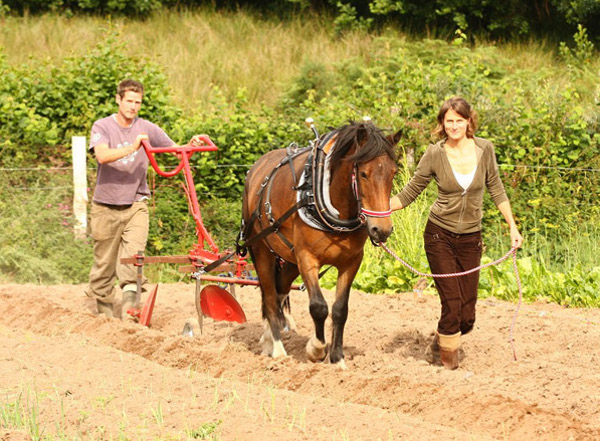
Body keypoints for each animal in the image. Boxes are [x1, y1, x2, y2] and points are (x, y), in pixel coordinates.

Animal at [241, 120, 400, 368]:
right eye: (363, 174)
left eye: (393, 174)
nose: (381, 230)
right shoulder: (307, 258)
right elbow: (318, 306)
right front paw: (316, 349)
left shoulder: (351, 262)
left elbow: (340, 310)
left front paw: (337, 358)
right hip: (261, 250)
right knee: (269, 295)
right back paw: (277, 349)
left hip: (289, 259)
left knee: (278, 292)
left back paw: (267, 341)